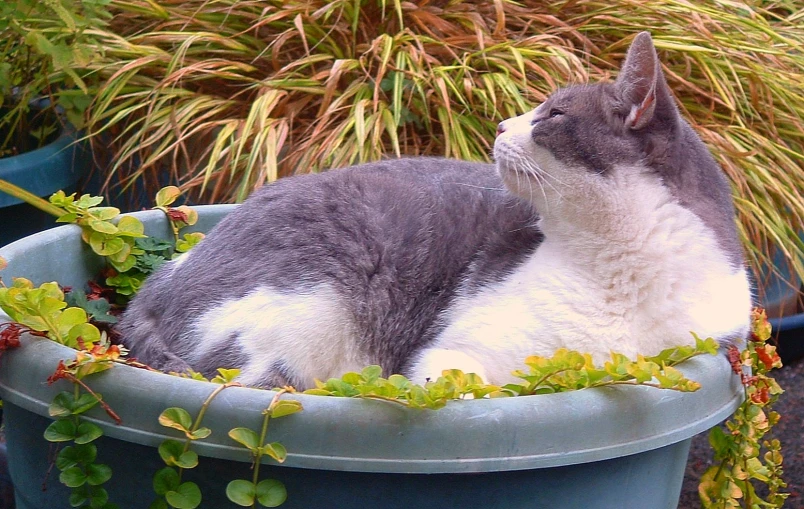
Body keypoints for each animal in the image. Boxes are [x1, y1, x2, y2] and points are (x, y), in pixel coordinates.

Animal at [121, 31, 752, 388]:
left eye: (552, 115)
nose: (501, 125)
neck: (619, 271)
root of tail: (160, 281)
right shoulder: (451, 351)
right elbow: (465, 386)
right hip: (298, 312)